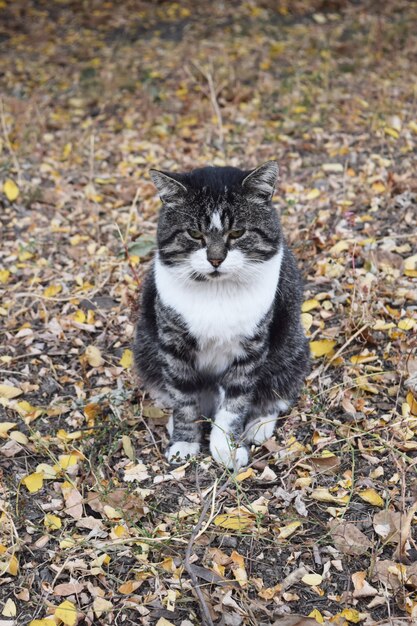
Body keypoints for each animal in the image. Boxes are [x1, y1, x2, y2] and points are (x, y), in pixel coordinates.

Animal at [133, 161, 308, 468]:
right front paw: (184, 442)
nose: (215, 259)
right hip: (145, 346)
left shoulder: (250, 349)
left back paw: (258, 426)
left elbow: (235, 404)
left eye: (237, 233)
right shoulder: (174, 346)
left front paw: (227, 447)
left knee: (277, 393)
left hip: (292, 348)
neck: (216, 291)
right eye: (194, 235)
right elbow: (183, 399)